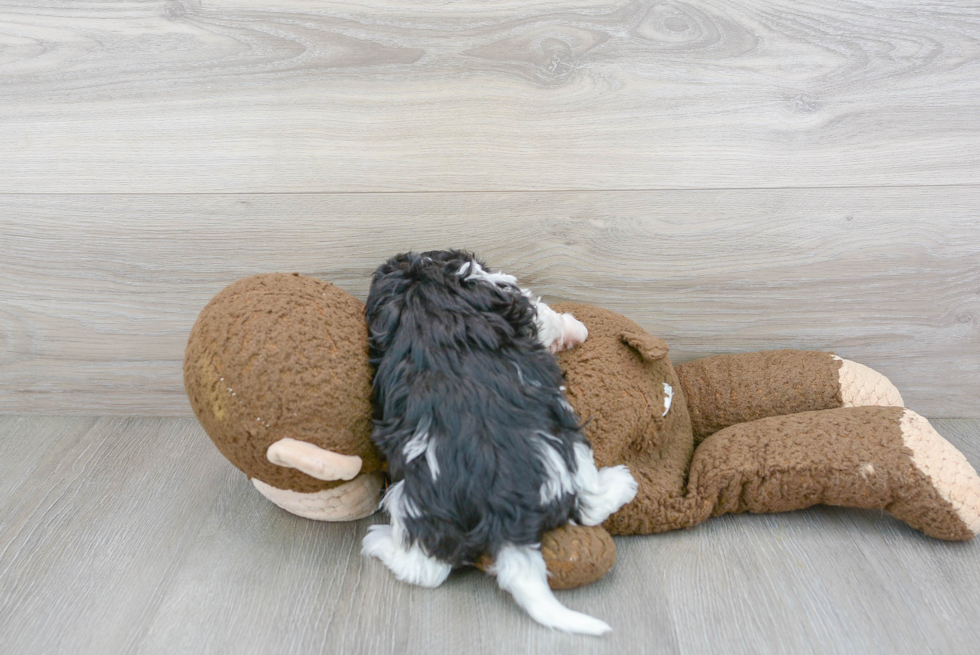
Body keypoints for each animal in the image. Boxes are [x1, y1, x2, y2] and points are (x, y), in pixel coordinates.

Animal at [364, 251, 640, 636]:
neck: (423, 283)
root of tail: (506, 513)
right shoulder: (504, 290)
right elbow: (547, 316)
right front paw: (577, 330)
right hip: (563, 440)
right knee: (426, 569)